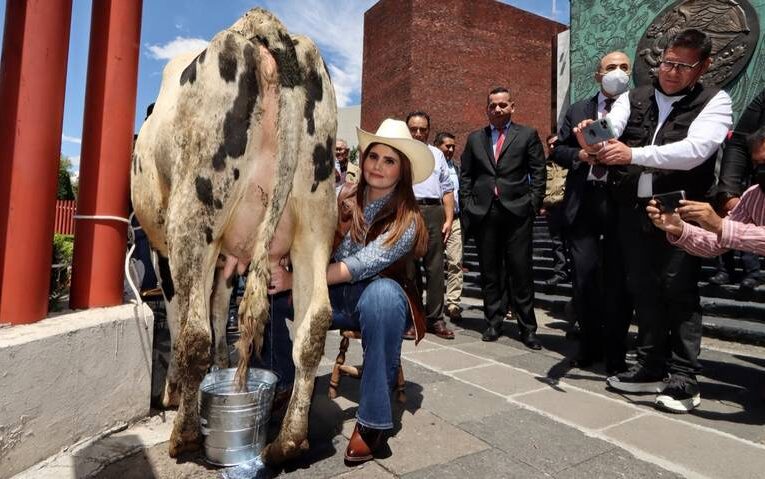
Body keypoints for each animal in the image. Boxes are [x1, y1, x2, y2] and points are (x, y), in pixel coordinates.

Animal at [131, 8, 338, 464]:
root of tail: (263, 30)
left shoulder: (165, 253)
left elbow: (182, 318)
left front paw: (175, 390)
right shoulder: (227, 256)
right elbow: (219, 305)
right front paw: (222, 368)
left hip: (193, 215)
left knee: (192, 334)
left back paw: (185, 434)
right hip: (315, 220)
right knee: (313, 326)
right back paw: (288, 441)